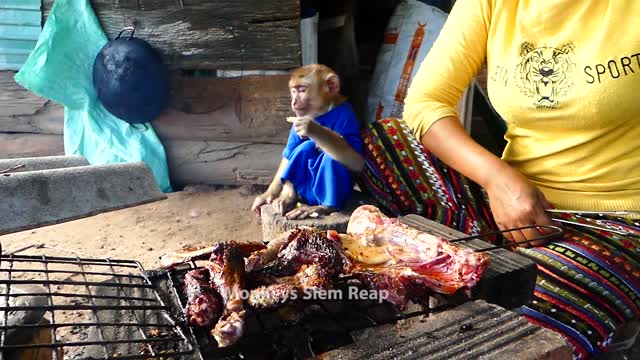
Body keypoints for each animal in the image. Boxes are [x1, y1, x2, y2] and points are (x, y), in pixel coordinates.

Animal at [254, 65, 364, 219]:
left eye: (302, 90)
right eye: (294, 91)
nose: (294, 101)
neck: (322, 111)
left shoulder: (348, 115)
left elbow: (358, 161)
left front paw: (312, 128)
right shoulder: (295, 122)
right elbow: (288, 156)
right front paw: (266, 196)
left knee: (327, 156)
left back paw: (324, 207)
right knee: (301, 149)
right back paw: (288, 197)